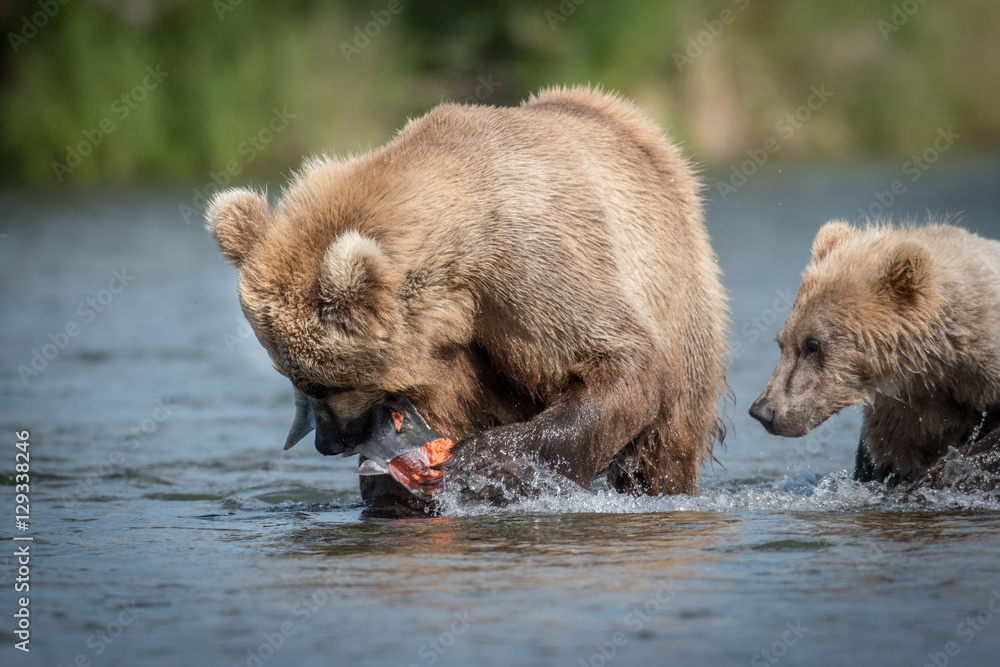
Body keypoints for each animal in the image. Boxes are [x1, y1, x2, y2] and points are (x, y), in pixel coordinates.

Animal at [206, 85, 729, 505]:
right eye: (294, 377)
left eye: (324, 383)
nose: (328, 443)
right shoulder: (441, 351)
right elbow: (446, 406)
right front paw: (394, 487)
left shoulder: (535, 267)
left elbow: (620, 359)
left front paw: (479, 465)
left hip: (680, 296)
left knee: (664, 445)